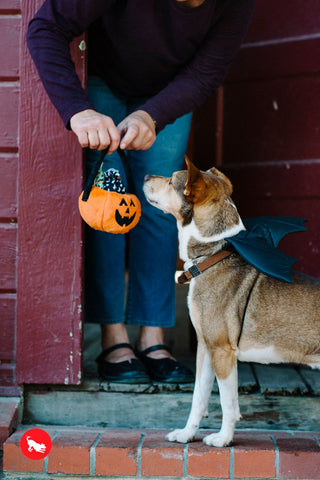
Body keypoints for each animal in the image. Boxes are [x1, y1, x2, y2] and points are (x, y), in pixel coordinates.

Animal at [143, 158, 320, 446]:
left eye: (171, 180)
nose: (146, 175)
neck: (212, 256)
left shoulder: (222, 351)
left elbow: (228, 403)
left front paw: (223, 439)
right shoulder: (206, 349)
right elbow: (198, 399)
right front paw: (186, 435)